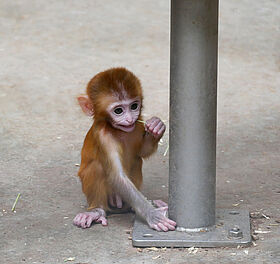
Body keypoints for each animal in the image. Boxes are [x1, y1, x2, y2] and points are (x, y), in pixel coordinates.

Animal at [73, 67, 176, 231]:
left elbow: (142, 152)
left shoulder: (138, 125)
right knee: (97, 168)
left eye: (134, 106)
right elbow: (117, 176)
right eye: (118, 111)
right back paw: (96, 211)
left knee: (137, 160)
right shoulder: (103, 137)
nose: (129, 119)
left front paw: (156, 126)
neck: (119, 131)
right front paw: (153, 215)